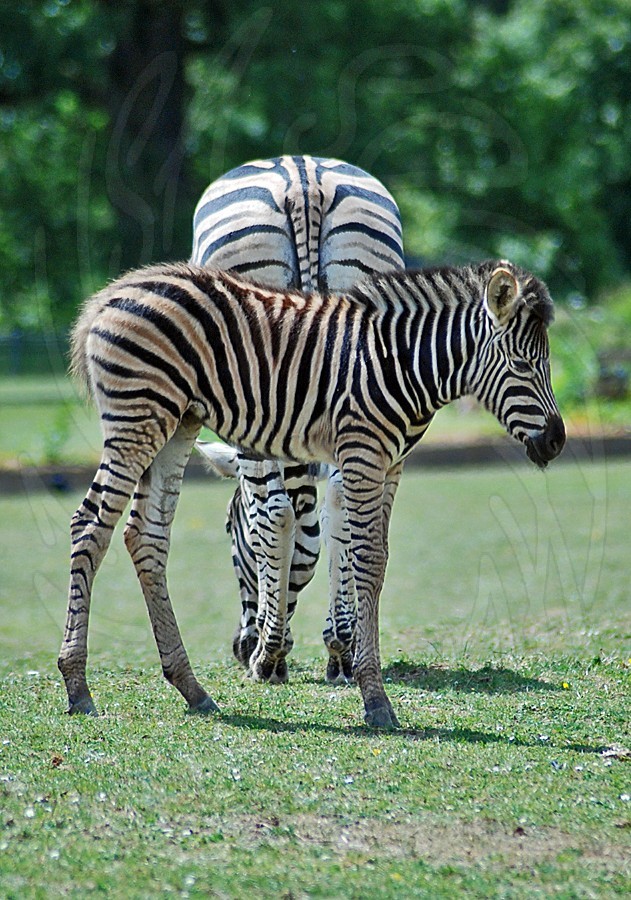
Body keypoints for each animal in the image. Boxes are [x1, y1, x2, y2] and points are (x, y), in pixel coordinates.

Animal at [59, 258, 566, 727]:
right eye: (523, 365)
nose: (557, 442)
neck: (402, 363)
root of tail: (114, 293)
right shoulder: (363, 454)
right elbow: (366, 561)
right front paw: (374, 697)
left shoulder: (390, 464)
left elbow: (377, 560)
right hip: (138, 419)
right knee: (90, 526)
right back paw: (78, 687)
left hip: (178, 422)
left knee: (145, 537)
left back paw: (191, 689)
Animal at [190, 155, 405, 684]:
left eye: (228, 531)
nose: (236, 645)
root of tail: (302, 177)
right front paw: (339, 645)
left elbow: (274, 519)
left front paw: (272, 649)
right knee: (344, 506)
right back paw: (341, 649)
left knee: (280, 511)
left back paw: (268, 656)